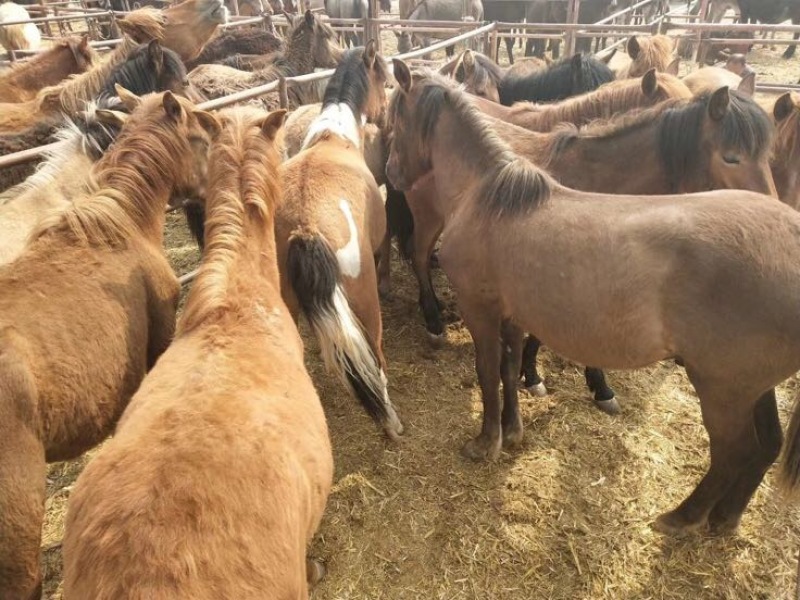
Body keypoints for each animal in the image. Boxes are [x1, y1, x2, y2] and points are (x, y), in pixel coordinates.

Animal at [276, 43, 403, 440]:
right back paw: (392, 423)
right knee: (376, 357)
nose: (386, 119)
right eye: (385, 80)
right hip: (364, 299)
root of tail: (304, 226)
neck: (334, 136)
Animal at [387, 59, 800, 541]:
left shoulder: (481, 310)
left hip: (724, 389)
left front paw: (486, 441)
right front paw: (513, 429)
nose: (392, 172)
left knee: (735, 451)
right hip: (753, 386)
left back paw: (682, 516)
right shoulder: (513, 313)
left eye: (397, 117)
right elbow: (510, 368)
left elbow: (488, 372)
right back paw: (725, 517)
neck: (488, 195)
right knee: (764, 445)